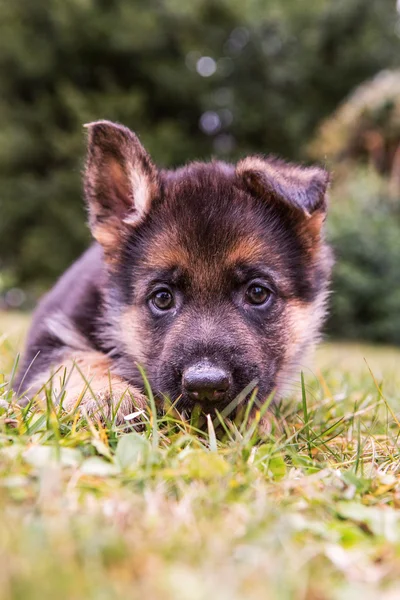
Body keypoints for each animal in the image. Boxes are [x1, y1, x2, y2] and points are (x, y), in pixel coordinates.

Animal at [14, 119, 332, 424]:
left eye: (257, 293)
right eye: (162, 298)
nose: (206, 385)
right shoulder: (44, 349)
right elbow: (77, 361)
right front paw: (109, 395)